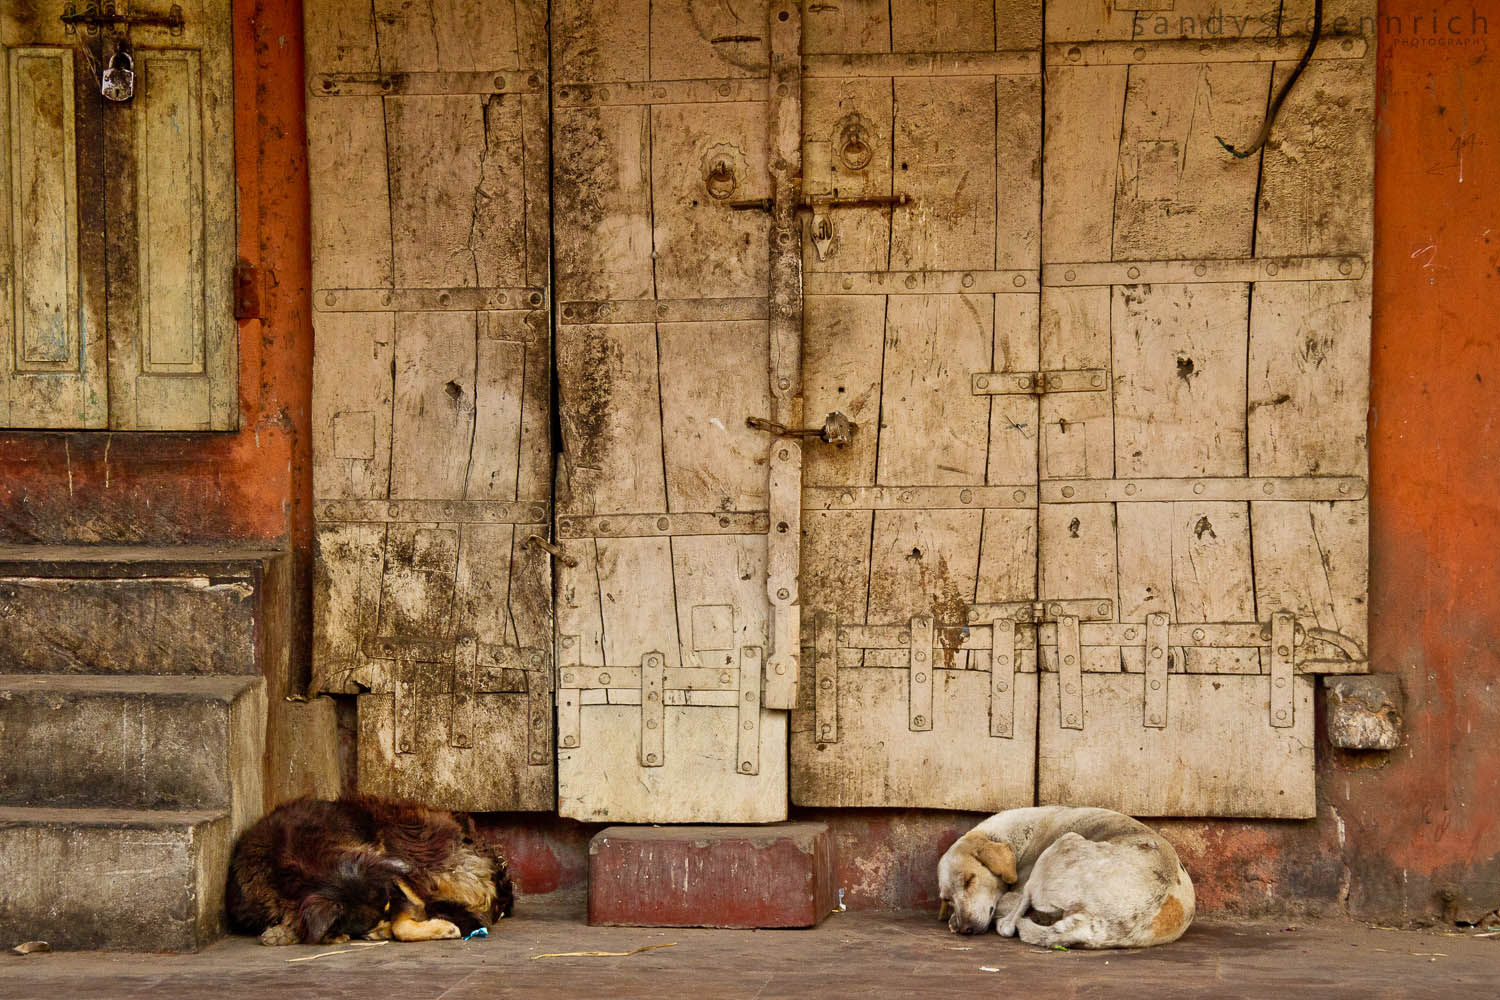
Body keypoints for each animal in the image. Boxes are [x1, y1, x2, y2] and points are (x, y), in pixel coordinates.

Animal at [936, 803, 1194, 947]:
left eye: (969, 880)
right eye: (947, 899)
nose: (964, 928)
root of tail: (1093, 921)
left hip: (1064, 842)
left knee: (1010, 924)